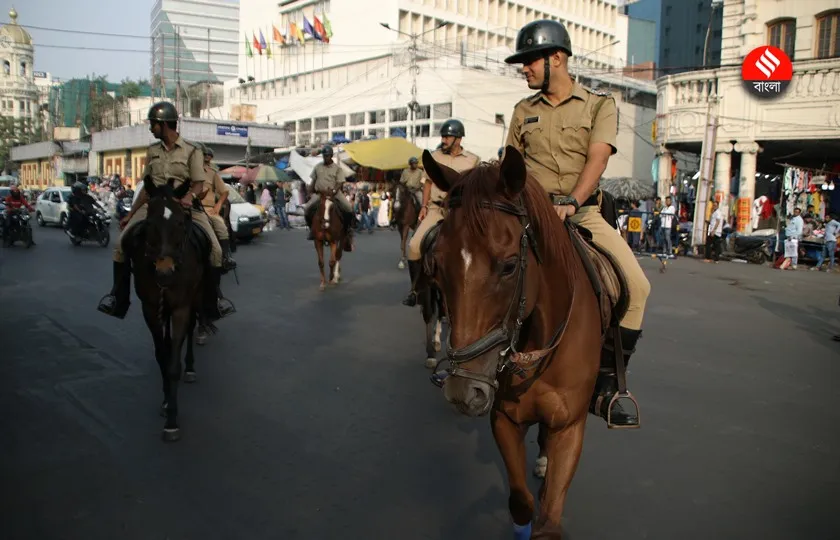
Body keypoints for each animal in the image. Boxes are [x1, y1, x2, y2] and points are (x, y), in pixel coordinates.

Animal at [129, 179, 208, 440]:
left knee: (191, 328)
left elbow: (173, 365)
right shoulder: (150, 308)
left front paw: (172, 421)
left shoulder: (182, 307)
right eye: (149, 223)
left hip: (195, 296)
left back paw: (190, 367)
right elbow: (162, 357)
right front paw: (166, 402)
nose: (165, 273)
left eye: (181, 223)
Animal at [424, 146, 612, 536]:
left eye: (510, 266)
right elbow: (522, 503)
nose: (463, 391)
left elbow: (549, 519)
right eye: (437, 265)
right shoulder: (504, 420)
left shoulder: (570, 429)